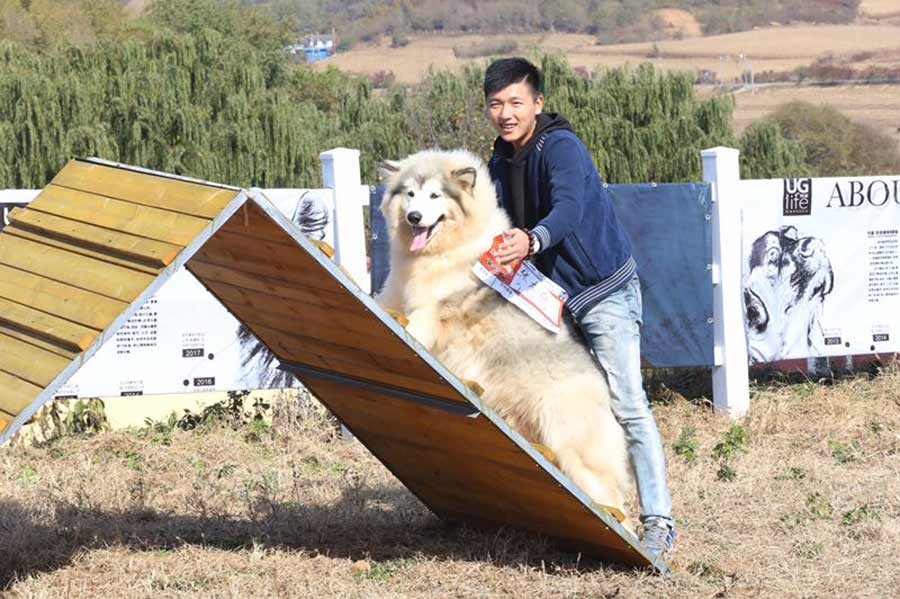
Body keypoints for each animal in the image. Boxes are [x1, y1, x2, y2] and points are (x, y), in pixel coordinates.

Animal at [376, 150, 636, 524]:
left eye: (435, 196)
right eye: (409, 194)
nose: (414, 217)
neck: (441, 253)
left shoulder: (437, 307)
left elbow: (418, 325)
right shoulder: (394, 293)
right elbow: (381, 302)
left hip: (574, 448)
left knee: (612, 501)